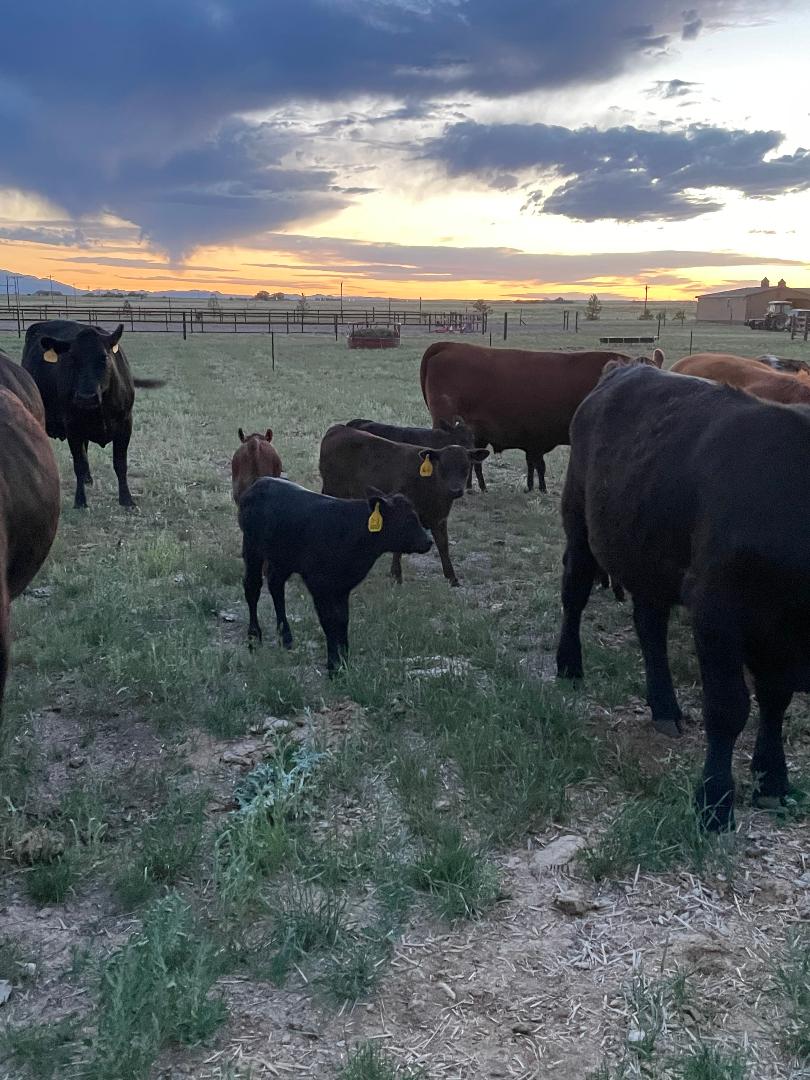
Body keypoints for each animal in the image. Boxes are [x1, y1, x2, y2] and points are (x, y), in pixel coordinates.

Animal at [22, 321, 164, 509]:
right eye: (72, 359)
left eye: (104, 357)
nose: (86, 397)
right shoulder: (72, 427)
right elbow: (78, 464)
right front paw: (80, 501)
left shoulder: (125, 424)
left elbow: (120, 464)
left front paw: (126, 499)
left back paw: (88, 479)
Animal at [238, 477, 431, 673]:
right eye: (408, 518)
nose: (428, 541)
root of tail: (261, 481)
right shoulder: (319, 583)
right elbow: (329, 620)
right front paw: (333, 665)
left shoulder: (342, 585)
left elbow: (342, 619)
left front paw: (344, 662)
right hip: (252, 547)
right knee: (252, 587)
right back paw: (254, 637)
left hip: (282, 559)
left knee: (276, 586)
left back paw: (286, 638)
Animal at [319, 424, 488, 587]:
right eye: (443, 466)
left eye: (466, 467)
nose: (455, 490)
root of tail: (338, 428)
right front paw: (397, 576)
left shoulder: (439, 518)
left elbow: (443, 545)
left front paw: (452, 578)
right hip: (333, 490)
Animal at [556, 361, 810, 831]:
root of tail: (625, 367)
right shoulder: (716, 609)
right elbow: (728, 707)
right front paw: (715, 802)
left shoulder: (779, 636)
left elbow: (775, 702)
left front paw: (772, 780)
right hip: (579, 521)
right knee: (574, 593)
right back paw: (569, 664)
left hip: (646, 552)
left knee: (650, 627)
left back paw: (664, 707)